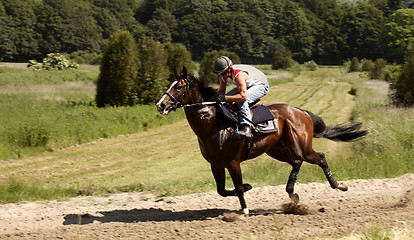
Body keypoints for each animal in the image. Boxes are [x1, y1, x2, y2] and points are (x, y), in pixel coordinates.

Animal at [156, 66, 368, 215]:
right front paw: (248, 188)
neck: (212, 124)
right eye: (169, 85)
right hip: (277, 149)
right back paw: (292, 193)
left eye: (179, 86)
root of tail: (302, 111)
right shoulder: (215, 164)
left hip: (301, 146)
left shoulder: (233, 161)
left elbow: (238, 187)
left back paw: (339, 185)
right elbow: (222, 190)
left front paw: (244, 209)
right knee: (297, 162)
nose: (161, 105)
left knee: (320, 157)